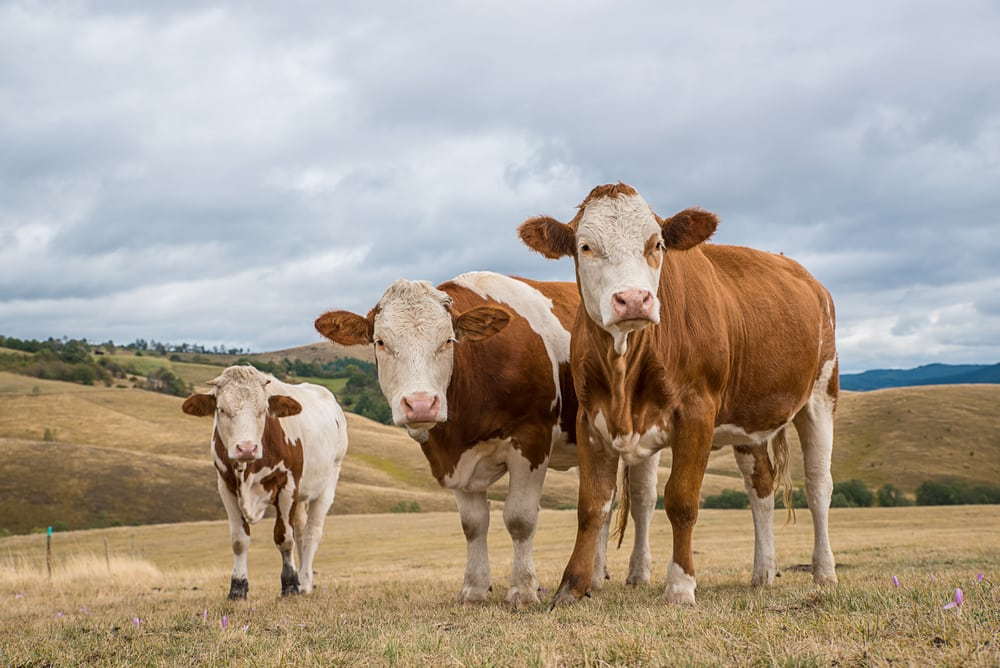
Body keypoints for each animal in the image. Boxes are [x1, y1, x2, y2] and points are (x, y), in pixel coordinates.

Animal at [182, 366, 350, 600]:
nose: (246, 448)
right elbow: (239, 540)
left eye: (263, 410)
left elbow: (284, 537)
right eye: (221, 410)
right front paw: (238, 587)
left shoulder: (287, 485)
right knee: (300, 530)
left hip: (328, 484)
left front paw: (290, 585)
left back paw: (304, 582)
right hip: (301, 495)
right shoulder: (226, 486)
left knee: (311, 533)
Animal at [316, 270, 660, 604]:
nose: (421, 404)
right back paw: (596, 576)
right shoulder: (453, 458)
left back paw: (638, 573)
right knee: (606, 499)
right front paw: (475, 589)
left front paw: (523, 589)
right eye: (380, 342)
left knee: (643, 500)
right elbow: (473, 524)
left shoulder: (531, 439)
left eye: (448, 340)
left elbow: (520, 518)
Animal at [520, 183, 840, 604]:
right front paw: (571, 587)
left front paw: (681, 585)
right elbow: (592, 504)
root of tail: (810, 279)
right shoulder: (591, 418)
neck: (627, 364)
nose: (634, 299)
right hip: (749, 420)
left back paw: (824, 571)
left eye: (656, 244)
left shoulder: (697, 414)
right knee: (761, 487)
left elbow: (682, 500)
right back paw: (763, 571)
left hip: (821, 395)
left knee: (819, 485)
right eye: (585, 246)